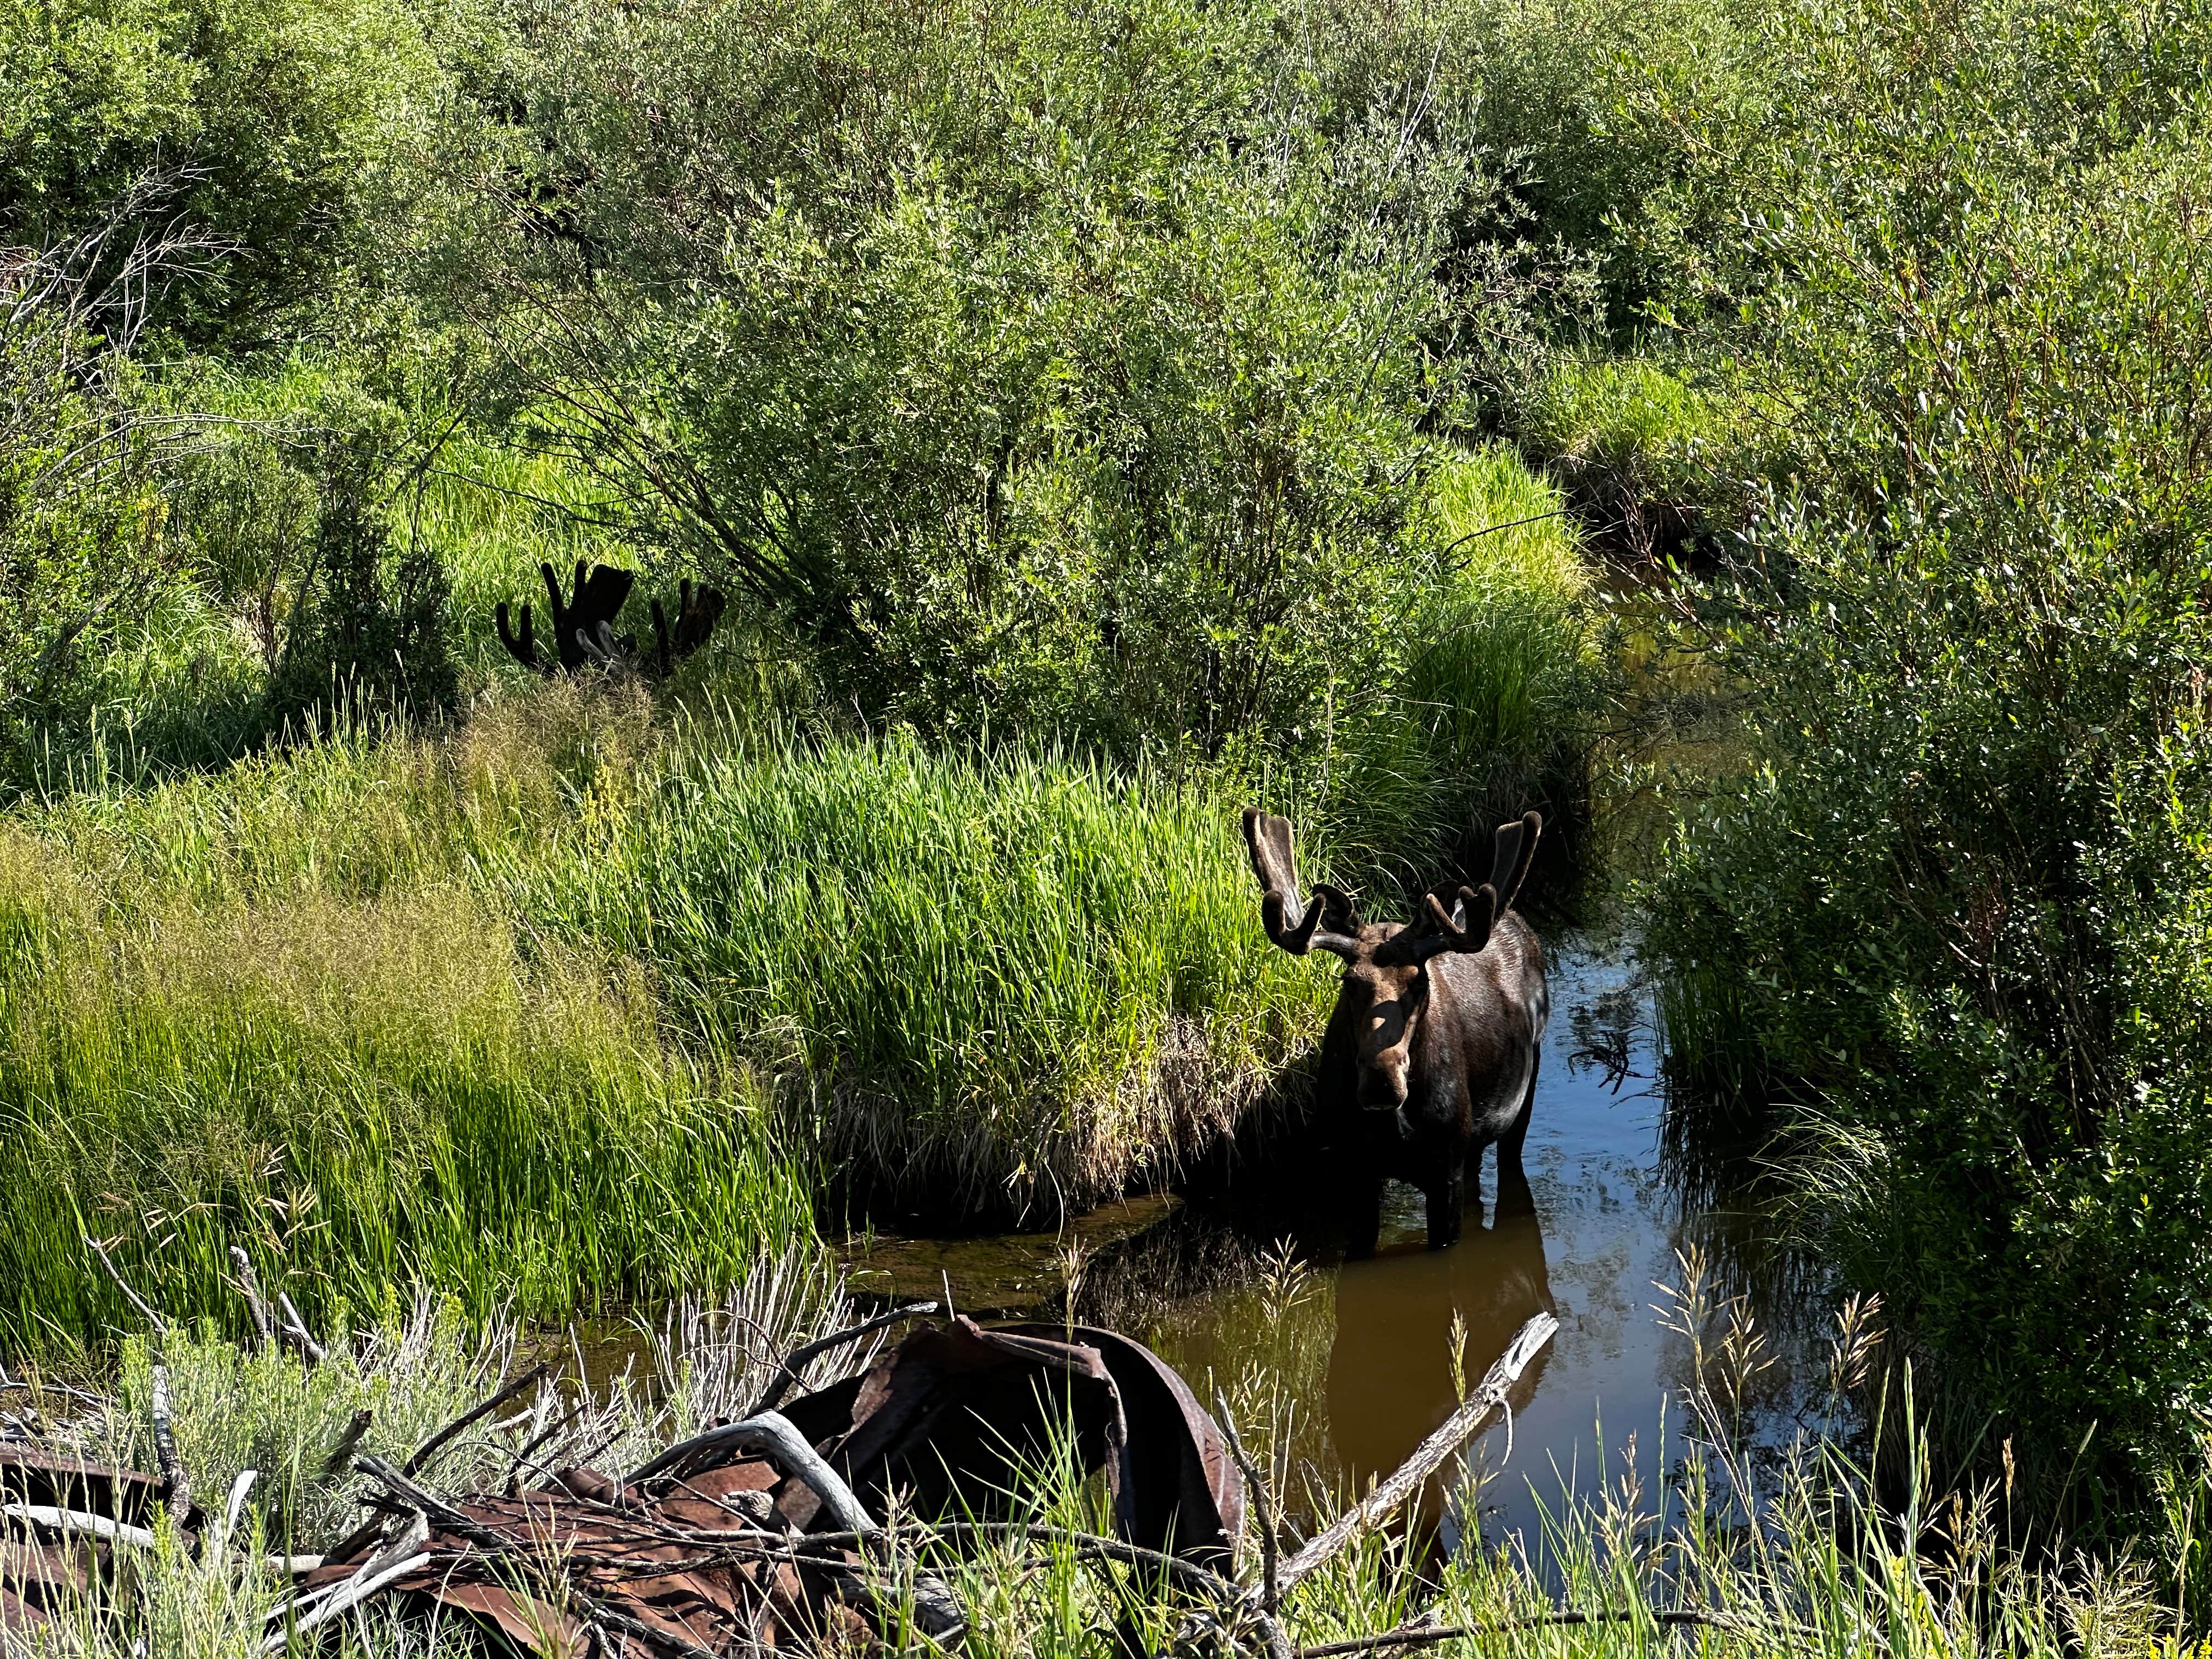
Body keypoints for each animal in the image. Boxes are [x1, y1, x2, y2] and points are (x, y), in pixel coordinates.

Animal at [1248, 814, 1557, 1256]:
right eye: (1348, 980)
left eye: (1420, 981)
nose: (1382, 1081)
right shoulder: (1356, 1168)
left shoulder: (1444, 1171)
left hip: (1523, 1094)